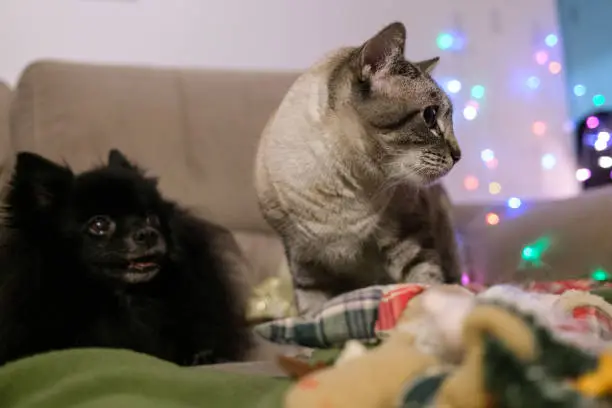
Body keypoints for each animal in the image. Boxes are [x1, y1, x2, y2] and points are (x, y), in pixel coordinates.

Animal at [253, 21, 460, 316]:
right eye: (430, 117)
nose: (459, 155)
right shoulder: (303, 260)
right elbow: (312, 314)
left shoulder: (409, 236)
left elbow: (426, 282)